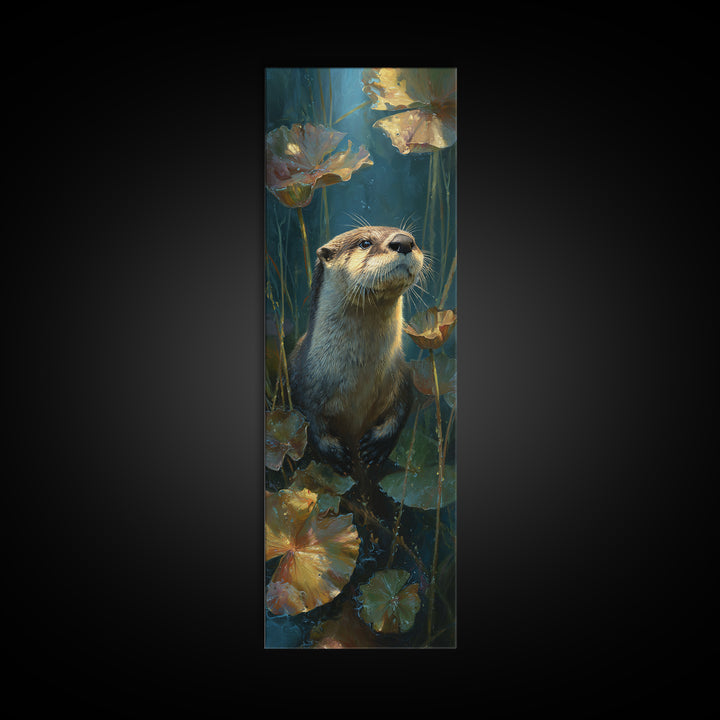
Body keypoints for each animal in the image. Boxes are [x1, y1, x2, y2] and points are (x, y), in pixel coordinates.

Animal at [289, 225, 424, 478]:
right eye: (364, 243)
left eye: (412, 238)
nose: (404, 242)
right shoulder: (301, 380)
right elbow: (307, 421)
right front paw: (336, 455)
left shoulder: (402, 374)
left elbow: (402, 407)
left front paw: (377, 445)